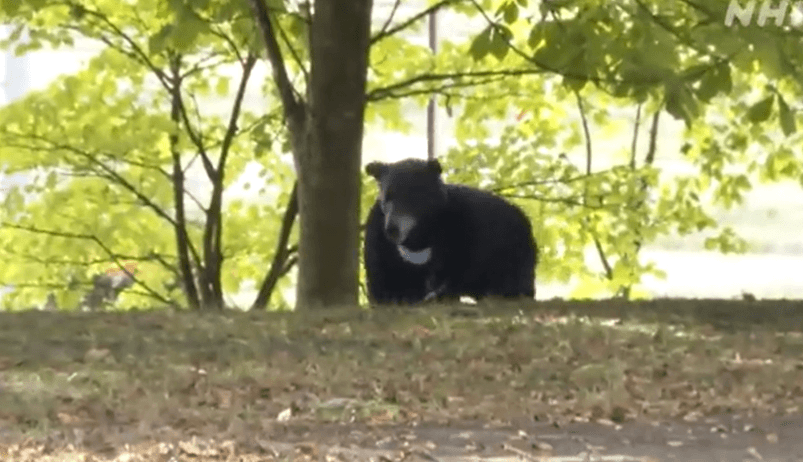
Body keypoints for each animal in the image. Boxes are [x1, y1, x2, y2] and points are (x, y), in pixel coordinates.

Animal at [363, 158, 537, 305]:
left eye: (411, 196)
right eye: (387, 198)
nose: (391, 229)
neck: (419, 238)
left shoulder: (460, 228)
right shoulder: (377, 240)